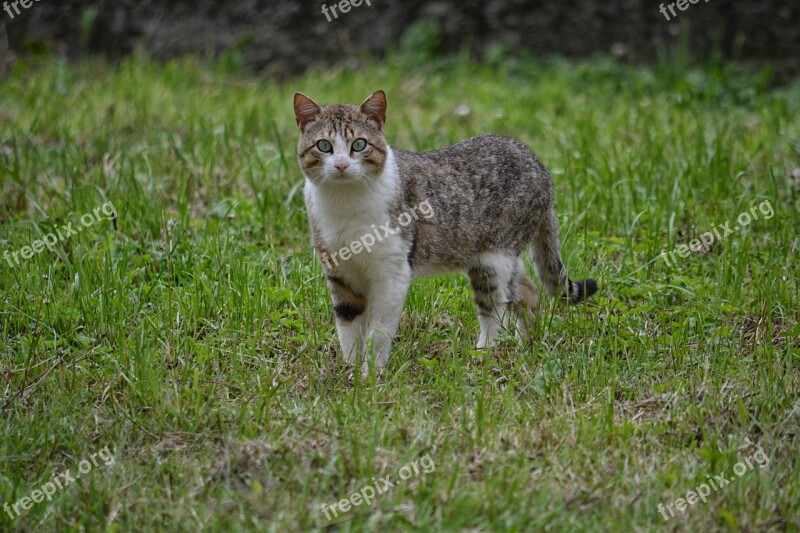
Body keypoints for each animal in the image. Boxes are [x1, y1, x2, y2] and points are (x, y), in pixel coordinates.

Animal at [292, 89, 592, 370]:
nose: (341, 165)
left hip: (493, 258)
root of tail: (541, 167)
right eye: (324, 146)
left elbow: (378, 332)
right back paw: (524, 346)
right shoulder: (340, 274)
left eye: (359, 144)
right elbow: (348, 330)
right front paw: (350, 373)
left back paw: (483, 355)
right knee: (528, 292)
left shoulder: (392, 274)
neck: (346, 204)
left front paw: (372, 374)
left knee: (495, 309)